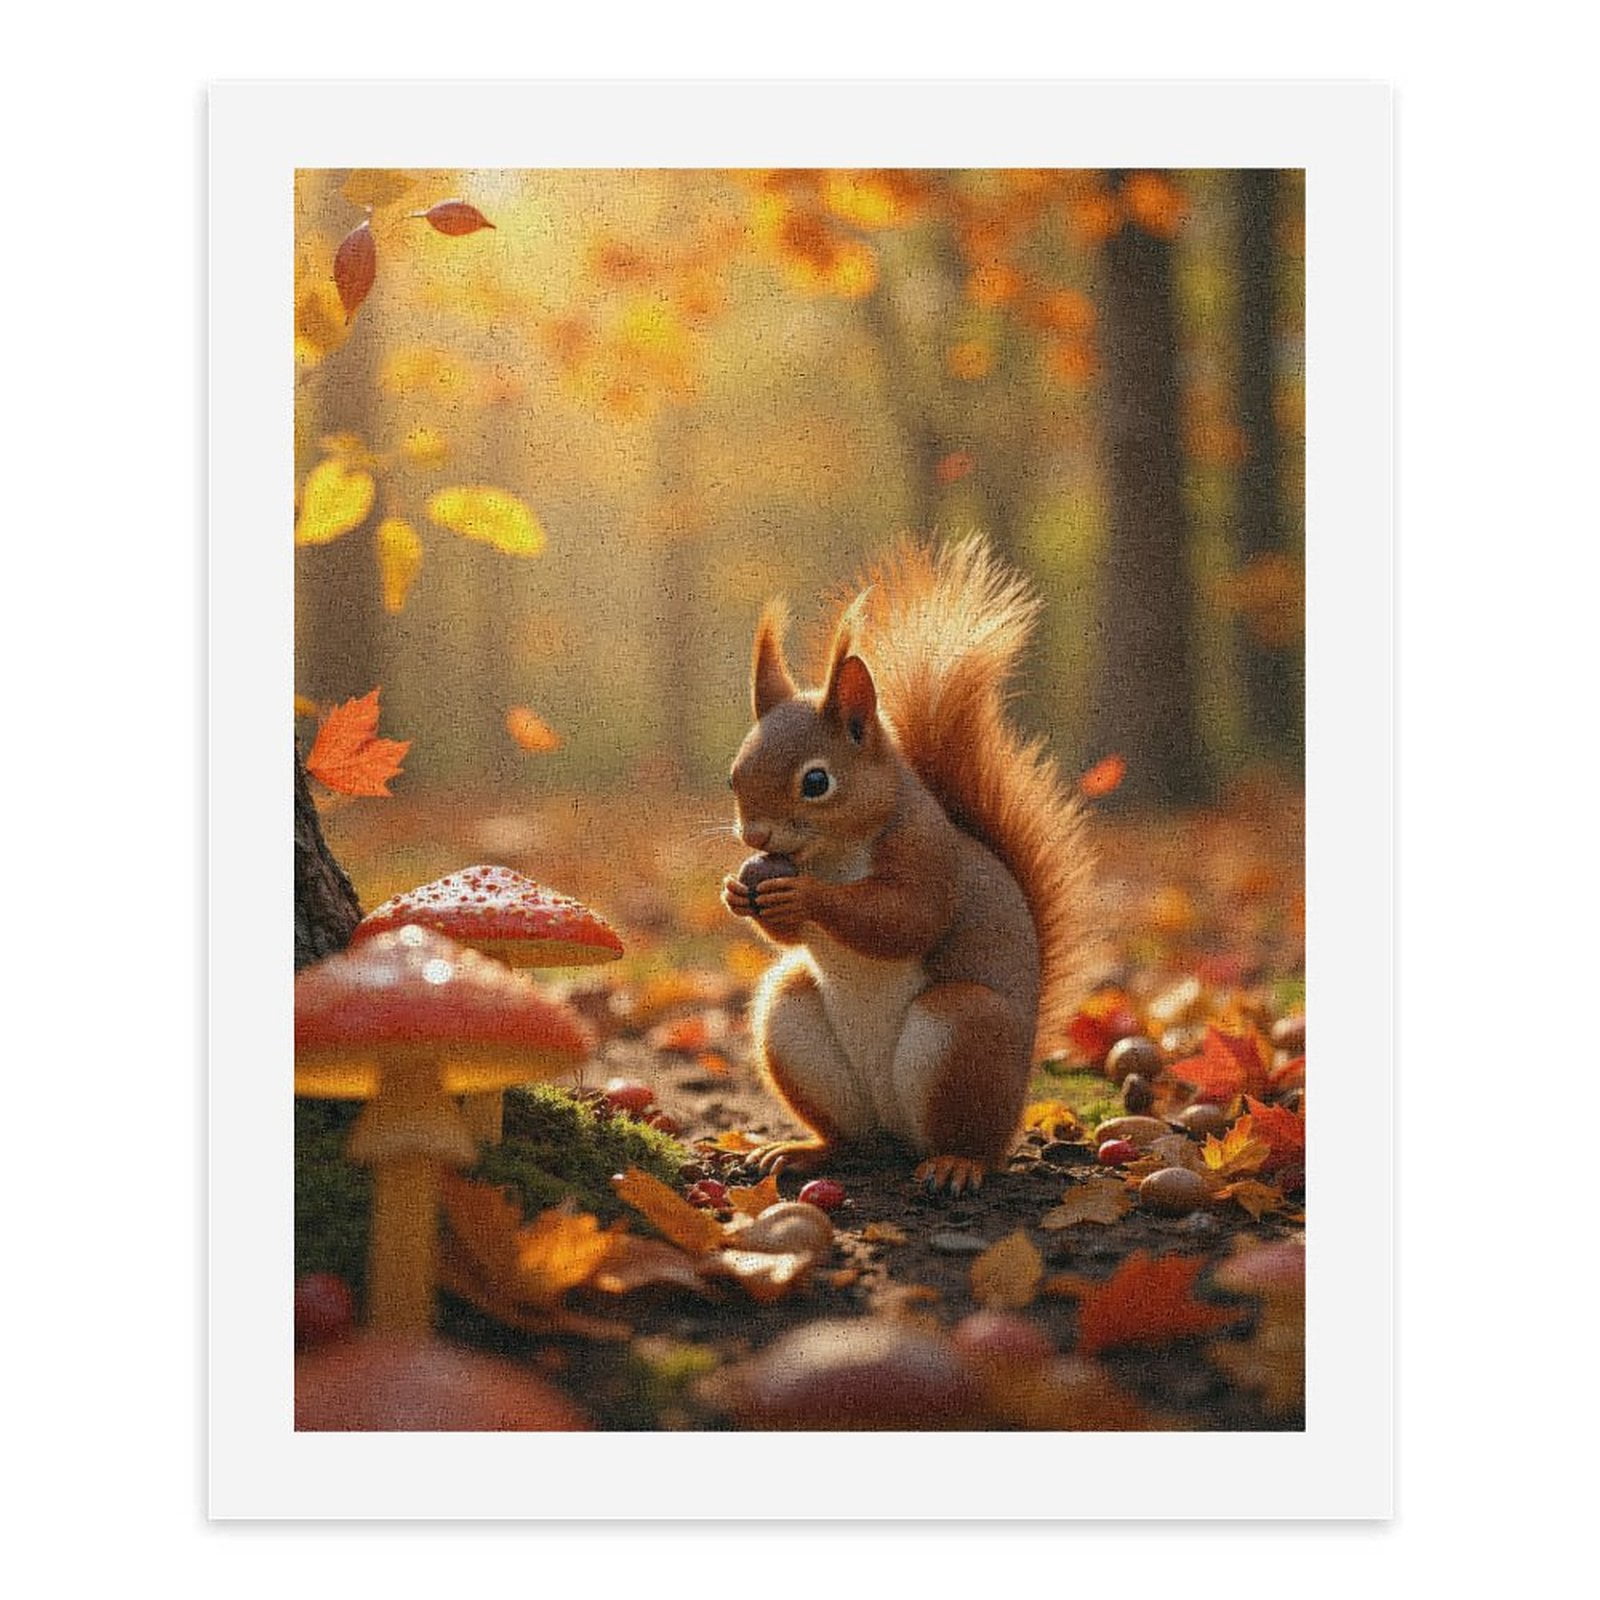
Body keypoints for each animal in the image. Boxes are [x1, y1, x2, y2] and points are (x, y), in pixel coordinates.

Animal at [721, 535, 1093, 1195]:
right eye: (733, 776)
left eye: (816, 782)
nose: (756, 836)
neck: (832, 854)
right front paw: (740, 895)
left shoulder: (926, 852)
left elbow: (904, 918)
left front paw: (806, 896)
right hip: (791, 1021)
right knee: (851, 1139)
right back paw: (805, 1150)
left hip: (963, 1029)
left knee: (968, 1141)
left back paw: (956, 1163)